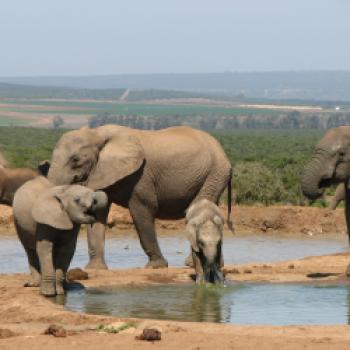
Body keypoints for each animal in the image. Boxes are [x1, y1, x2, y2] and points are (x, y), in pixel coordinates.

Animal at [46, 124, 232, 270]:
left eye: (75, 160)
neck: (96, 133)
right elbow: (99, 212)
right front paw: (95, 269)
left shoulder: (141, 176)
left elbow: (142, 210)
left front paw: (156, 266)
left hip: (215, 172)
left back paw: (190, 264)